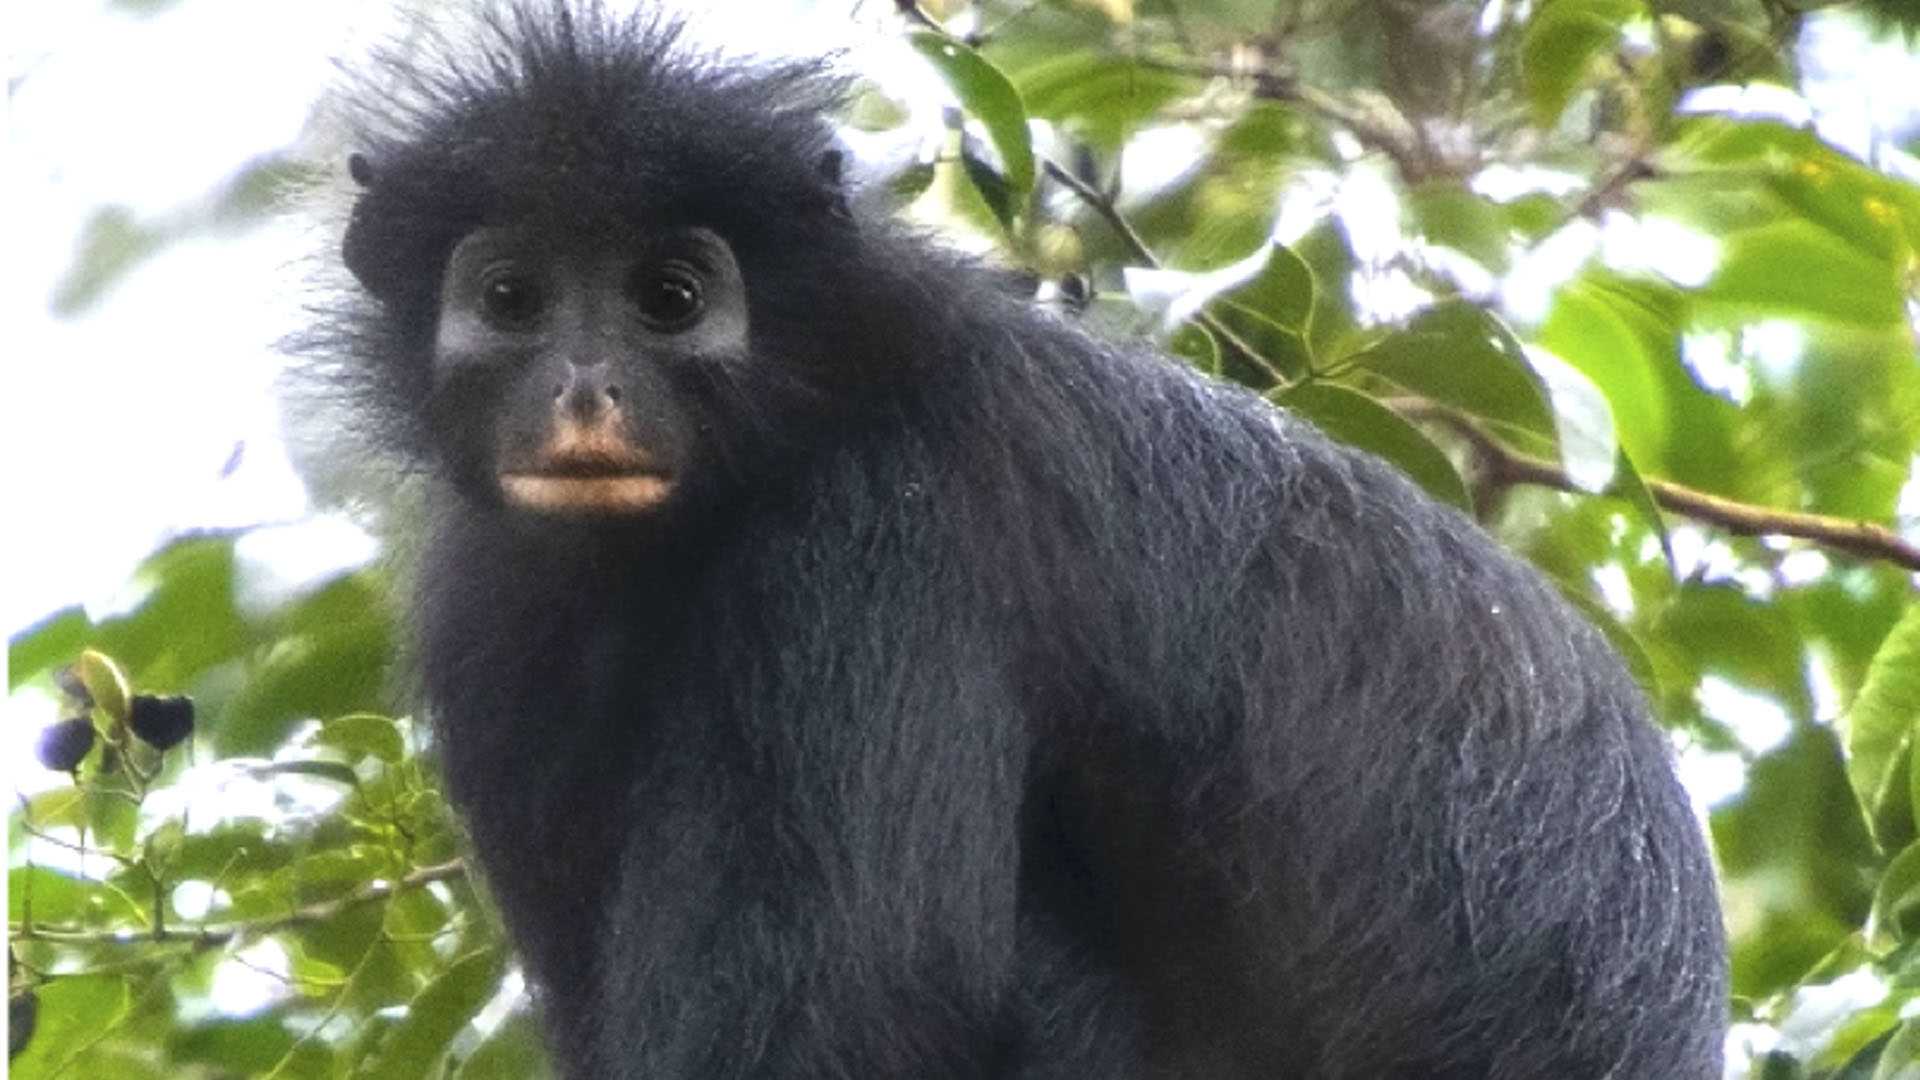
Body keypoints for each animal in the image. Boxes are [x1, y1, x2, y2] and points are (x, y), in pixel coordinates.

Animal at [298, 3, 1728, 1076]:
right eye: (512, 298)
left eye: (669, 299)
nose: (585, 388)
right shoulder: (493, 616)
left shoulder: (880, 535)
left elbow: (866, 1002)